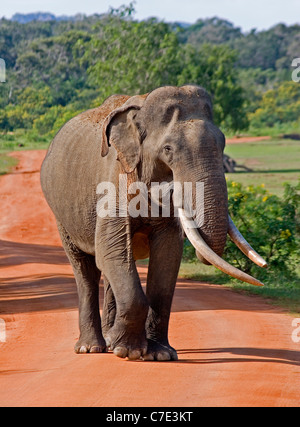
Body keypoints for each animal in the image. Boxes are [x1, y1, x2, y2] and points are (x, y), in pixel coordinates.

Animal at [40, 85, 268, 362]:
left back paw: (110, 339)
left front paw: (159, 354)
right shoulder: (114, 179)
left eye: (223, 142)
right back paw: (91, 347)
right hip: (62, 214)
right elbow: (111, 249)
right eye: (168, 149)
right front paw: (129, 351)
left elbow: (166, 255)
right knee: (86, 268)